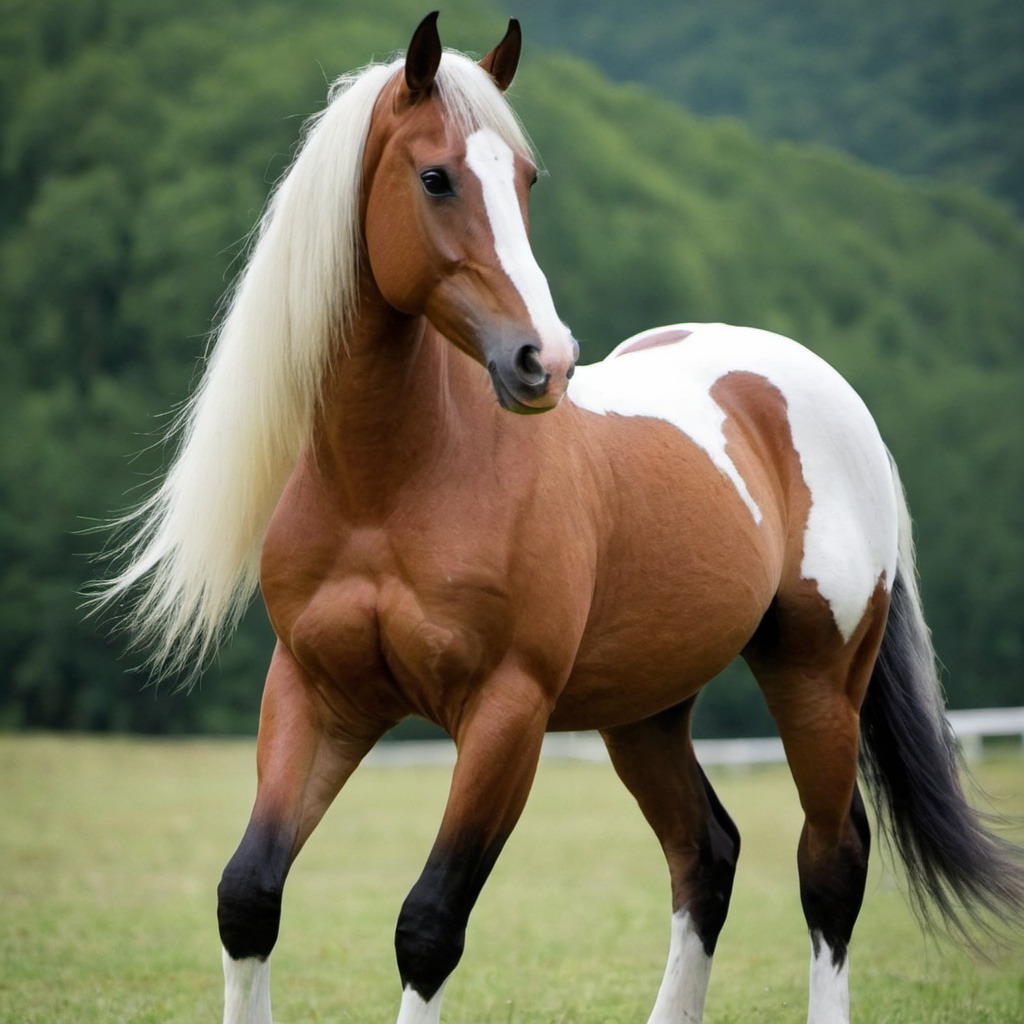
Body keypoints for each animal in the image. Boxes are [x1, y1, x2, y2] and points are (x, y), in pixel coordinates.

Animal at [96, 13, 1024, 1024]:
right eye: (436, 177)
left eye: (527, 180)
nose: (543, 361)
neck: (393, 485)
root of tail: (820, 388)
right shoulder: (317, 694)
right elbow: (248, 895)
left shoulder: (508, 713)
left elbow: (428, 925)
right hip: (646, 713)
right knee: (706, 853)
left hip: (815, 680)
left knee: (831, 863)